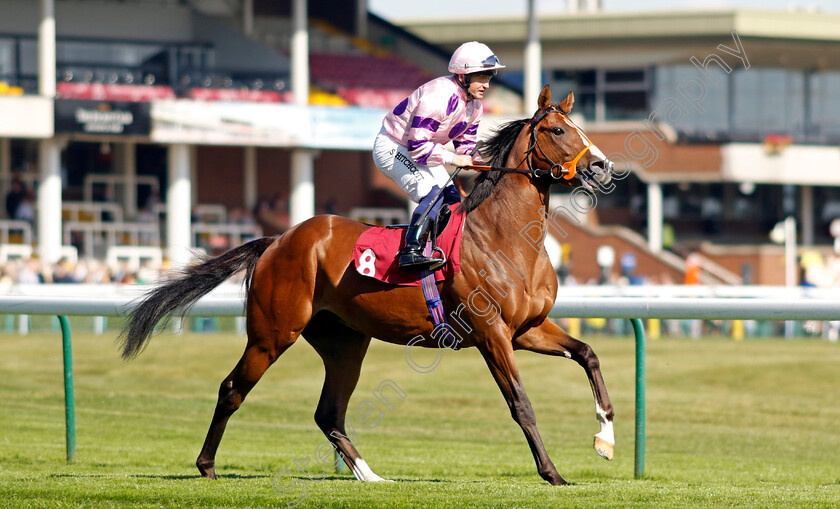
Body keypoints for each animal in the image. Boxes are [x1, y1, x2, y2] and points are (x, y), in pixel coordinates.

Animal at [120, 85, 616, 486]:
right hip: (272, 333)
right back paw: (206, 465)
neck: (505, 237)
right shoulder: (491, 332)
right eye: (557, 130)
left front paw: (605, 436)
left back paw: (368, 474)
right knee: (232, 389)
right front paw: (552, 473)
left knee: (328, 412)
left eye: (579, 128)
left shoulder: (528, 328)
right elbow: (521, 404)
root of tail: (276, 240)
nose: (603, 167)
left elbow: (589, 355)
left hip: (344, 342)